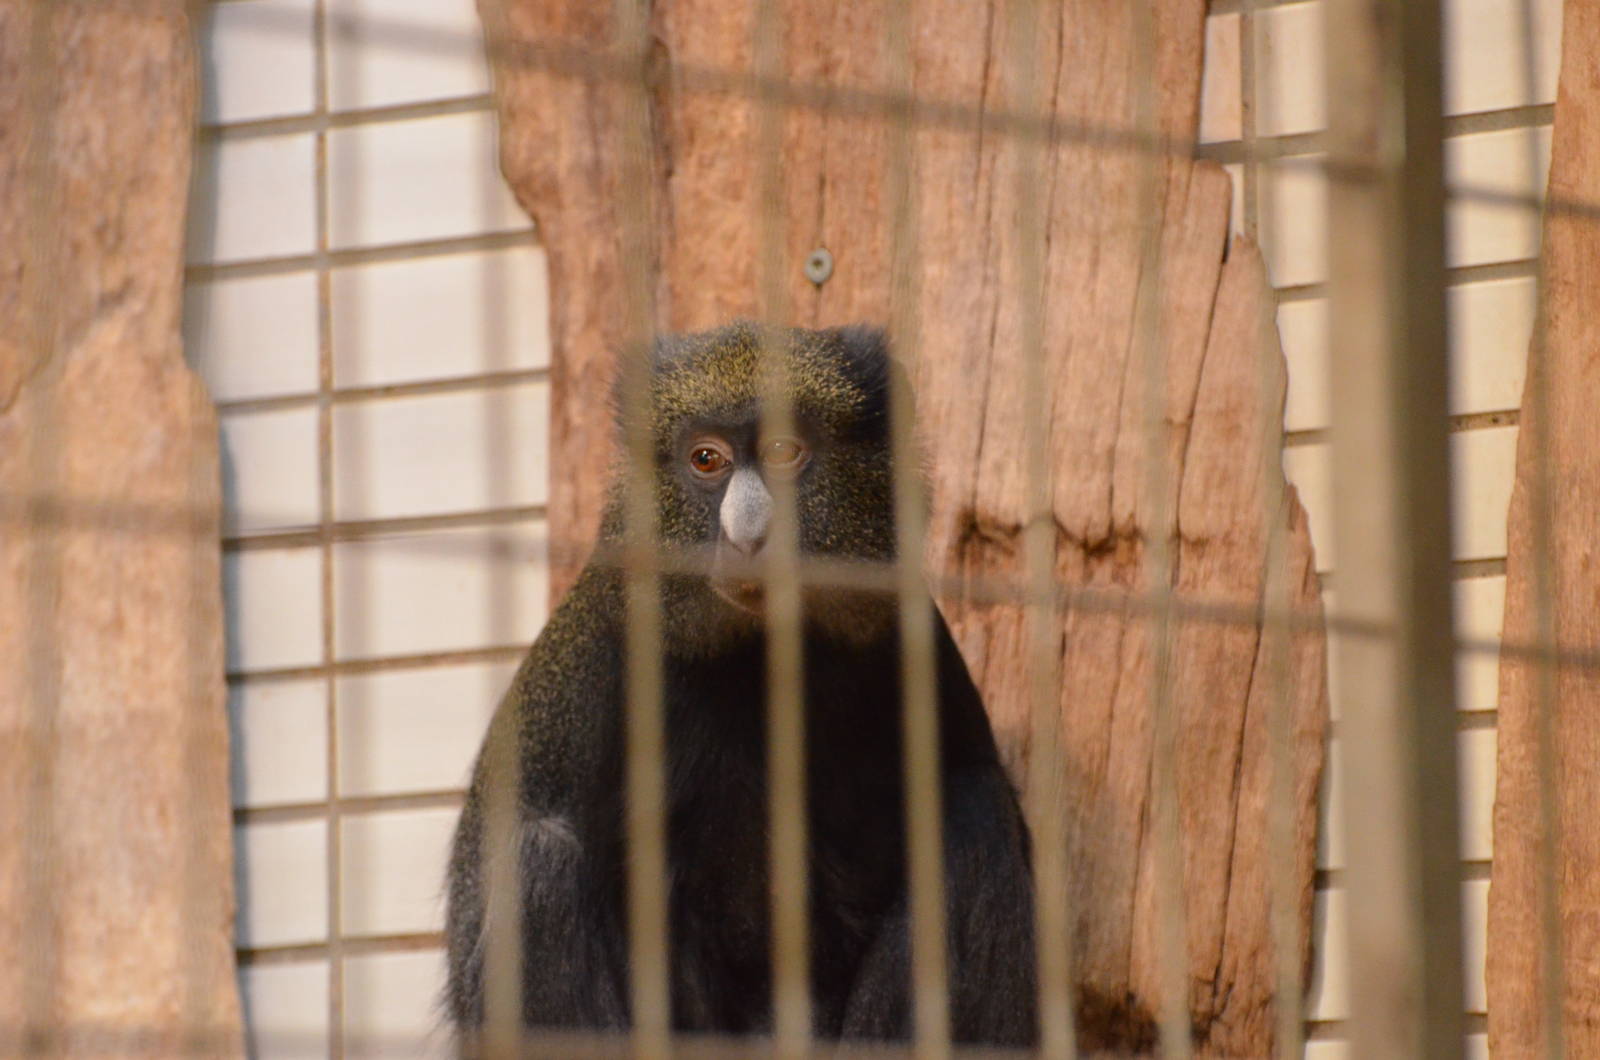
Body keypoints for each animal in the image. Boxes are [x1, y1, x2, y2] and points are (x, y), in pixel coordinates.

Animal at [444, 321, 1038, 1050]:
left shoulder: (914, 636)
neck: (761, 655)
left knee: (975, 808)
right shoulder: (595, 663)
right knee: (538, 861)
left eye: (784, 452)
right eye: (707, 460)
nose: (748, 533)